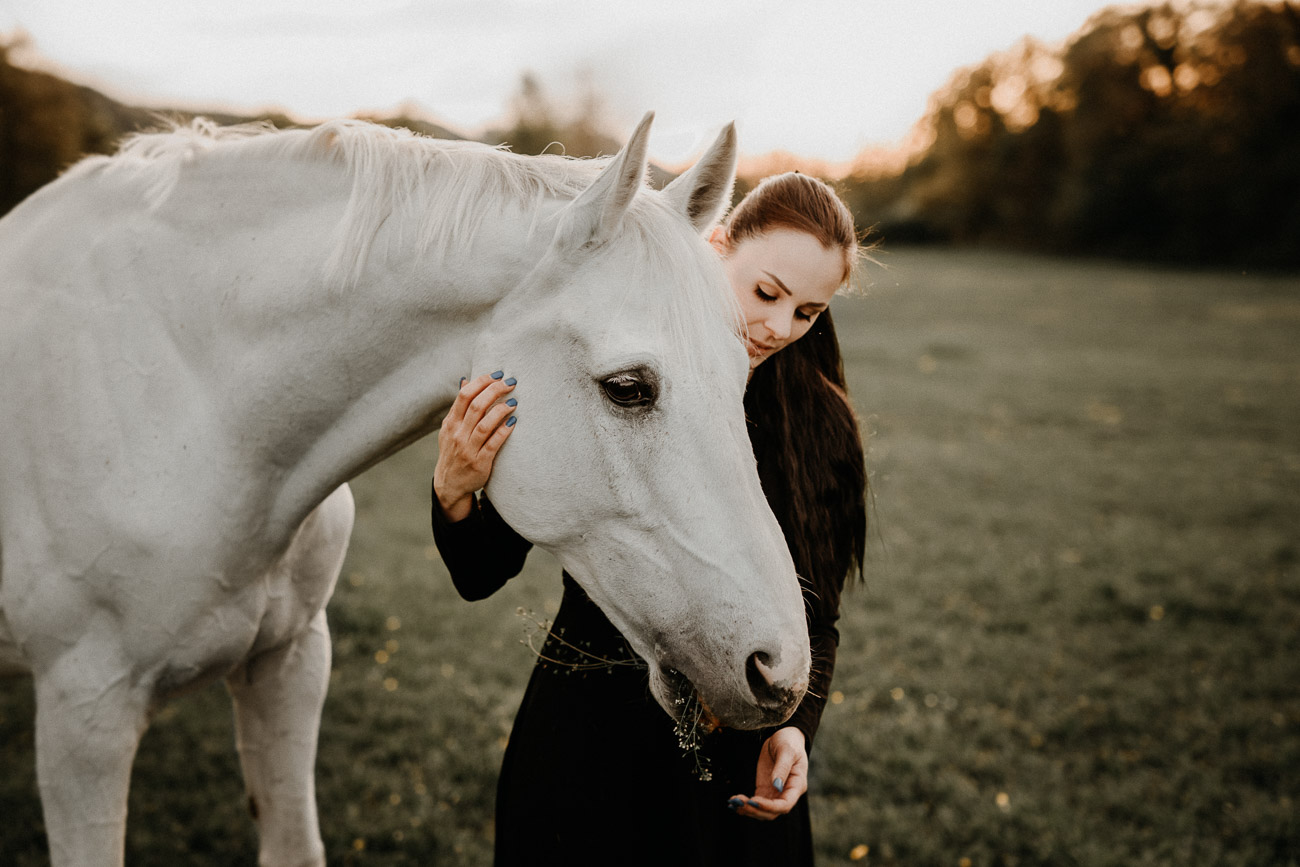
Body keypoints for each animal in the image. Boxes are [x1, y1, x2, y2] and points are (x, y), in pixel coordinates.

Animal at [0, 115, 806, 867]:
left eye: (742, 375)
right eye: (629, 387)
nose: (780, 672)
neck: (193, 400)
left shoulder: (289, 662)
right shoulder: (87, 716)